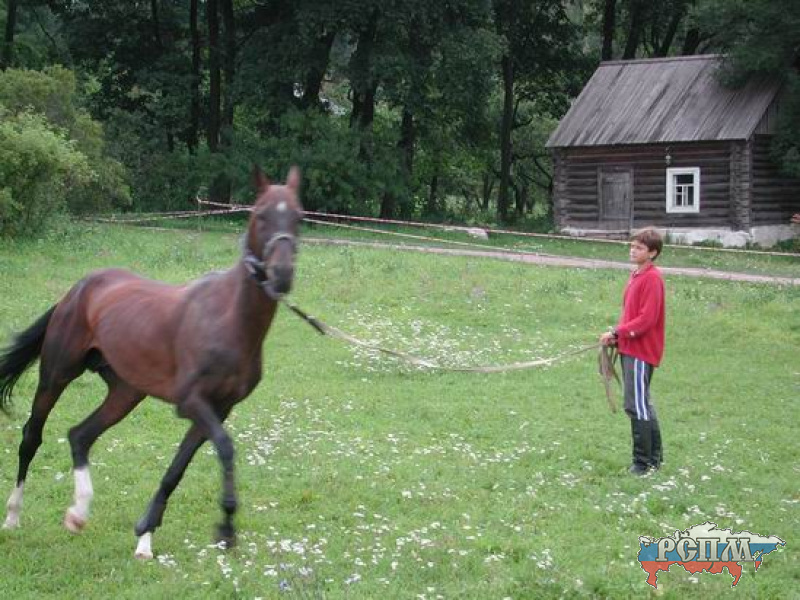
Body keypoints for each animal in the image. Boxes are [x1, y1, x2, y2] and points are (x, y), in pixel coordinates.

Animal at [0, 166, 303, 559]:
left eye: (298, 217)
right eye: (261, 215)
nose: (281, 274)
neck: (228, 319)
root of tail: (78, 289)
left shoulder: (219, 408)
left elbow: (177, 468)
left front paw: (145, 536)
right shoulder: (193, 402)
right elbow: (225, 447)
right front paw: (226, 527)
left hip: (125, 393)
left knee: (80, 435)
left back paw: (78, 513)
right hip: (57, 374)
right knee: (31, 437)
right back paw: (13, 516)